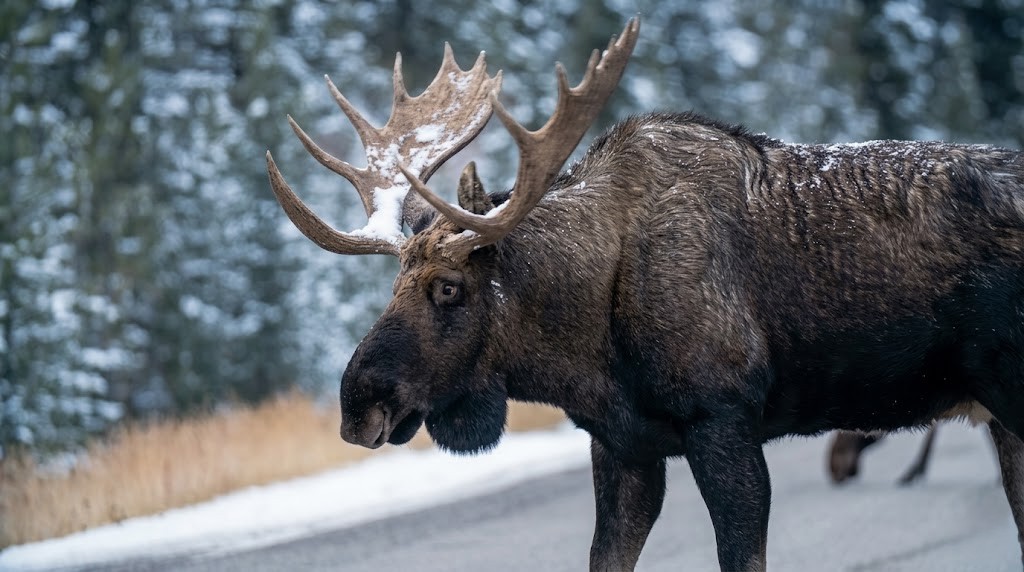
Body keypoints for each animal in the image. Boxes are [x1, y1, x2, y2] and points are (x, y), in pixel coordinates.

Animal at [265, 19, 1024, 572]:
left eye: (448, 287)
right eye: (394, 284)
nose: (358, 405)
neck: (587, 347)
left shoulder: (723, 421)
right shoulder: (623, 445)